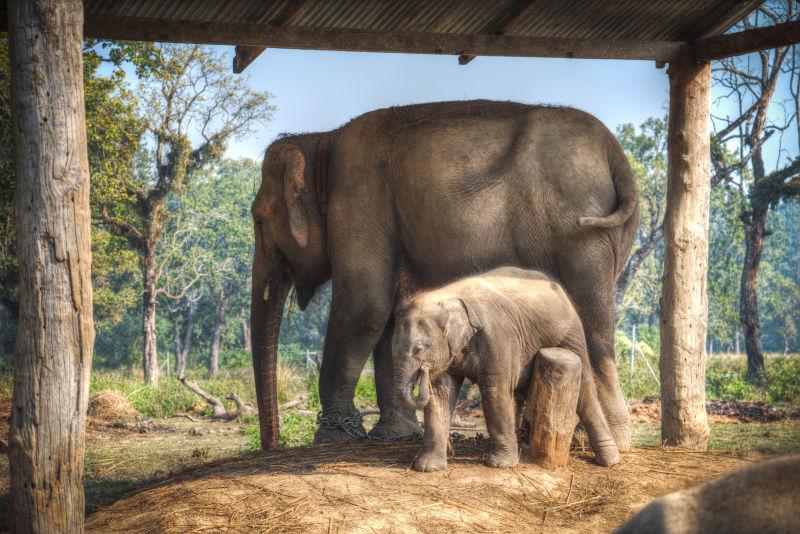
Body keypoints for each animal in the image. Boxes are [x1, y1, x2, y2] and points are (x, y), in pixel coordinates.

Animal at [250, 101, 636, 452]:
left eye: (257, 218)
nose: (273, 446)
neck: (323, 139)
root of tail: (615, 154)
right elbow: (390, 314)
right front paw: (393, 436)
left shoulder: (358, 200)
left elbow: (365, 307)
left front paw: (331, 439)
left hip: (578, 235)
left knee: (591, 320)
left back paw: (602, 441)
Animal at [392, 268, 620, 474]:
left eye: (419, 349)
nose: (423, 371)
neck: (447, 295)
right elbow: (441, 394)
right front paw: (427, 468)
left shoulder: (497, 336)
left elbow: (495, 391)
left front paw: (500, 465)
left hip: (570, 337)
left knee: (585, 392)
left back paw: (610, 460)